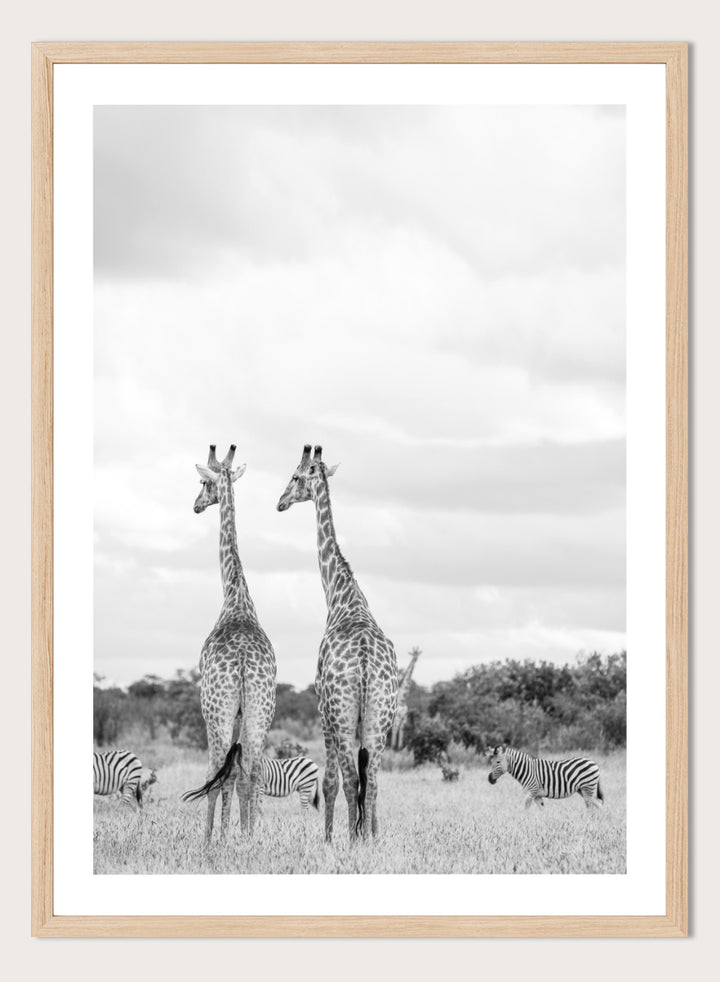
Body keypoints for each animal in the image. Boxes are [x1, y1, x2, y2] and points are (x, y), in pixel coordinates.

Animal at [277, 444, 398, 841]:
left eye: (295, 476)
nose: (280, 502)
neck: (342, 596)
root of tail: (363, 664)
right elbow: (367, 783)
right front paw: (369, 833)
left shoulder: (323, 712)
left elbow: (329, 782)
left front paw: (329, 839)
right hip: (379, 721)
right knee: (371, 782)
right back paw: (368, 839)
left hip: (343, 720)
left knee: (349, 781)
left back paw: (350, 840)